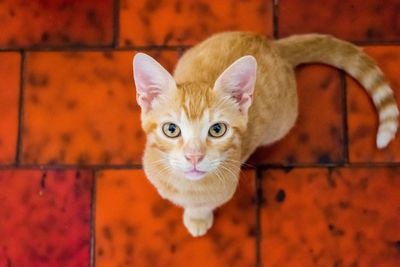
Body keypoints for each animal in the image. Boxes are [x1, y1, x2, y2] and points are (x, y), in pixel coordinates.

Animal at [133, 31, 398, 237]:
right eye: (171, 130)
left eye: (217, 130)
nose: (194, 156)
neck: (187, 187)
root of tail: (272, 44)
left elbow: (204, 205)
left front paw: (198, 217)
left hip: (283, 123)